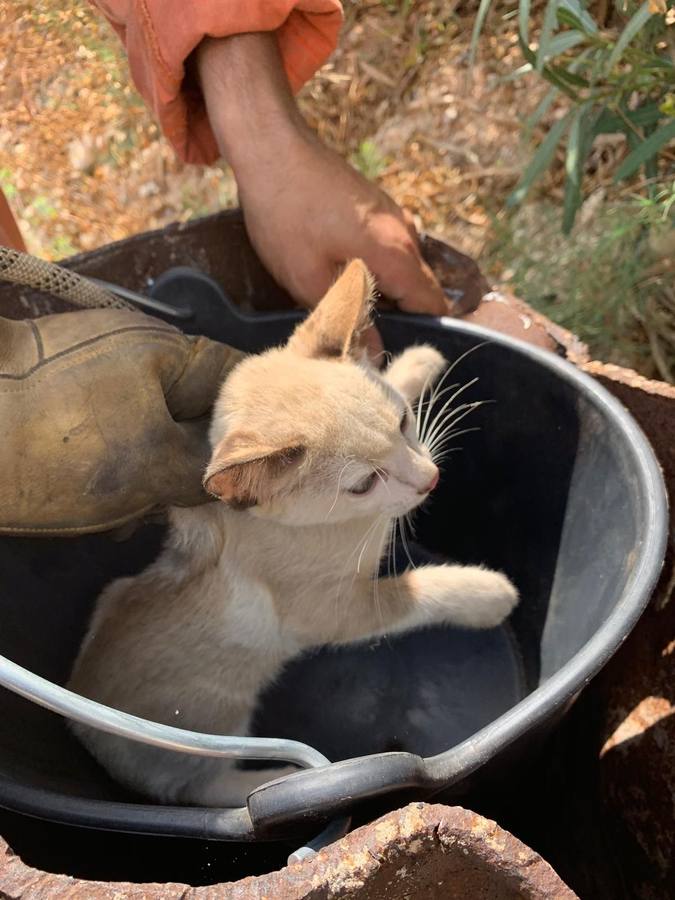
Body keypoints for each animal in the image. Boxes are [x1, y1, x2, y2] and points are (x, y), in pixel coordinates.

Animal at [68, 260, 520, 808]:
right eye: (363, 484)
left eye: (403, 422)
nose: (429, 479)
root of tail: (85, 732)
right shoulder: (331, 611)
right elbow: (411, 592)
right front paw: (485, 593)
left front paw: (413, 363)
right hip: (213, 721)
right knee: (201, 789)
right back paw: (283, 780)